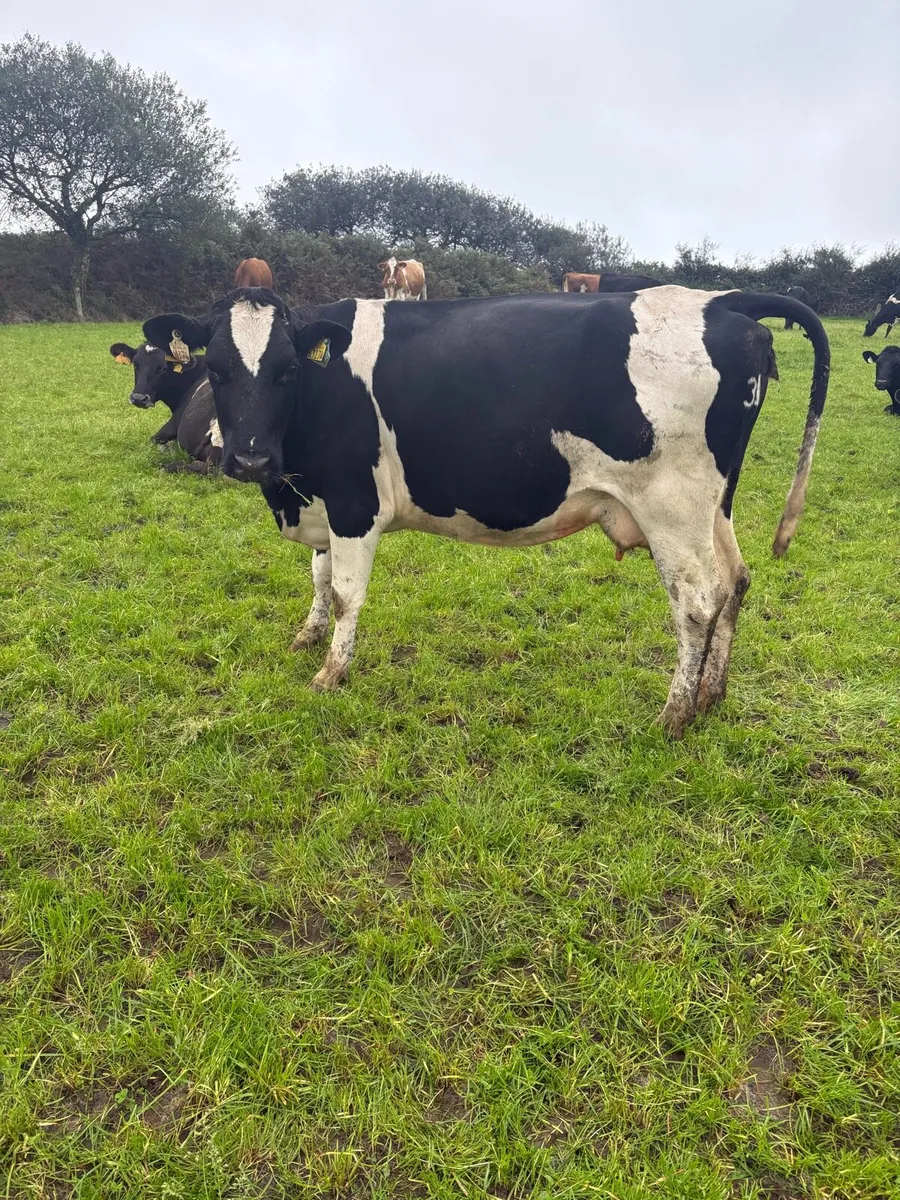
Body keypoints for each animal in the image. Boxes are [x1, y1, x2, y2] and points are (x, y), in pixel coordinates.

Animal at [140, 285, 829, 738]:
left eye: (286, 371)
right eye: (215, 369)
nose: (249, 458)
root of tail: (719, 300)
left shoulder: (356, 503)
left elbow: (344, 592)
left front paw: (330, 673)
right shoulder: (322, 503)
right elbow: (317, 573)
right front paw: (306, 638)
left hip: (673, 507)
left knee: (697, 601)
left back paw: (675, 714)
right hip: (716, 505)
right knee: (736, 581)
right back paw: (712, 697)